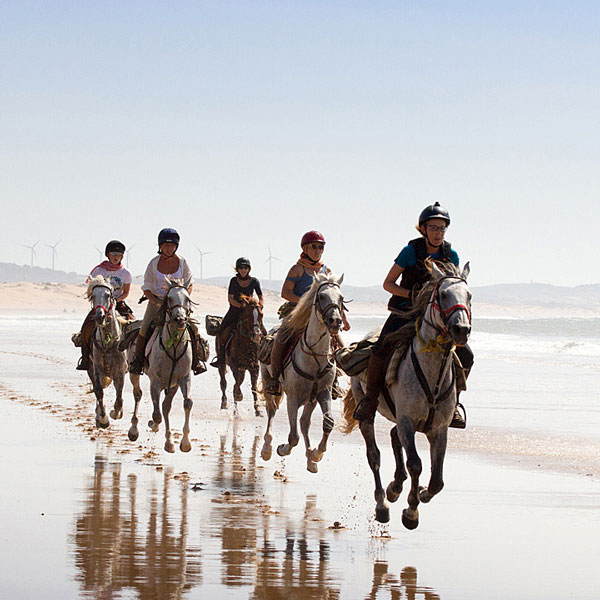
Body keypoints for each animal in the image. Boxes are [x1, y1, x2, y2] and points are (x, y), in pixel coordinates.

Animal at [85, 276, 143, 432]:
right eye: (93, 296)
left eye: (108, 295)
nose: (100, 316)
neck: (108, 343)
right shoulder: (96, 369)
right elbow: (99, 392)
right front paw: (103, 419)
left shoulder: (120, 372)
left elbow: (119, 398)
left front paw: (116, 413)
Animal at [144, 278, 196, 452]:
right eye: (169, 299)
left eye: (188, 299)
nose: (180, 319)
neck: (173, 346)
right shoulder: (155, 381)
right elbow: (156, 415)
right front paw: (153, 423)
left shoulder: (183, 378)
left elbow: (187, 403)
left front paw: (185, 443)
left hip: (172, 384)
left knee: (166, 407)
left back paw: (169, 442)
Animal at [260, 272, 344, 474]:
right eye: (321, 296)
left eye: (341, 298)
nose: (335, 321)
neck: (314, 358)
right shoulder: (293, 397)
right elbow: (293, 437)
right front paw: (282, 449)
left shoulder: (323, 392)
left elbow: (328, 423)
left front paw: (317, 454)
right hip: (268, 381)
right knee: (271, 410)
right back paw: (267, 448)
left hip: (310, 400)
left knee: (304, 423)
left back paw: (310, 460)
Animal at [340, 262, 472, 528]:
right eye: (443, 295)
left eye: (469, 296)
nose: (461, 329)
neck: (432, 374)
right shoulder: (408, 422)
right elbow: (416, 464)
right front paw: (411, 511)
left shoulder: (438, 428)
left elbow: (437, 479)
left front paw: (421, 493)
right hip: (367, 410)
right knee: (374, 455)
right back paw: (383, 503)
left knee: (393, 436)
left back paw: (395, 486)